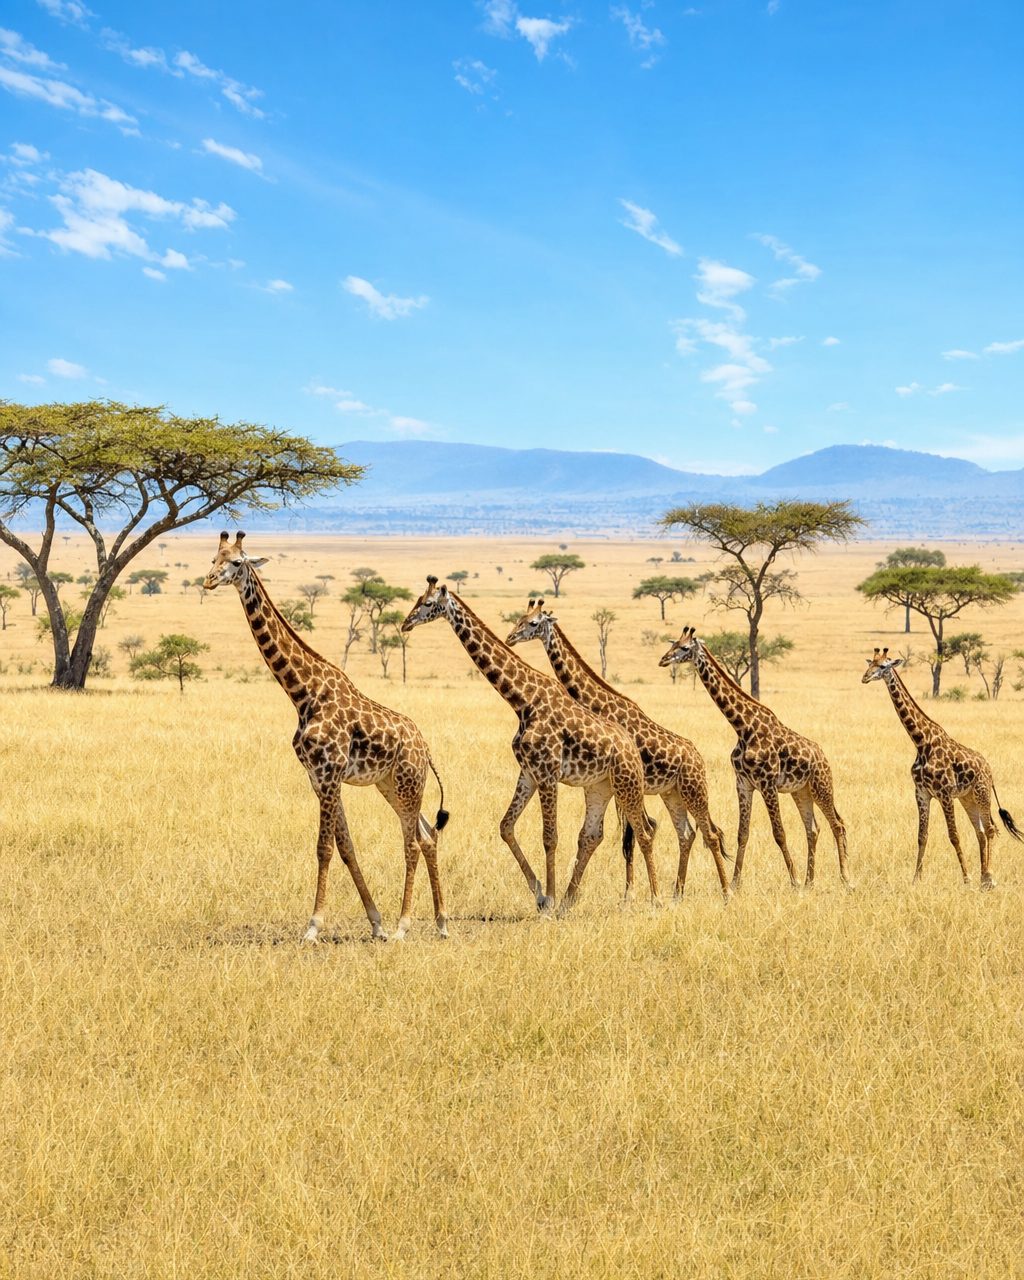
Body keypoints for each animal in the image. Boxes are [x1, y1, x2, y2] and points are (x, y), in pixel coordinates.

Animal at [203, 532, 449, 942]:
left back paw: (404, 925)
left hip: (407, 782)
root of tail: (426, 747)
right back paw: (441, 922)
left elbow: (324, 848)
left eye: (237, 562)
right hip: (390, 784)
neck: (303, 693)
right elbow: (346, 846)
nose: (208, 581)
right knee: (428, 835)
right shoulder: (317, 777)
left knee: (413, 842)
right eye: (214, 558)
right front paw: (375, 923)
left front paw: (313, 926)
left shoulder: (330, 772)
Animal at [401, 578, 659, 913]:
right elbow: (505, 827)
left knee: (645, 831)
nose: (405, 624)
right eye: (418, 599)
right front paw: (540, 894)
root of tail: (631, 747)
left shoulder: (548, 773)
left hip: (627, 783)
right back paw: (569, 901)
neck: (522, 701)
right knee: (592, 835)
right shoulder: (528, 772)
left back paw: (655, 898)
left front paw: (548, 899)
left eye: (430, 604)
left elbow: (550, 837)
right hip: (599, 787)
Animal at [506, 598, 731, 900]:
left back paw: (725, 892)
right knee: (688, 834)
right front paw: (631, 892)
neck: (601, 704)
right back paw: (678, 893)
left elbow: (632, 835)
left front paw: (630, 895)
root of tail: (697, 754)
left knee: (708, 833)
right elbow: (629, 834)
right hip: (671, 793)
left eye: (532, 622)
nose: (510, 637)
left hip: (689, 791)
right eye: (519, 618)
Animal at [659, 627, 851, 890]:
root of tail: (823, 756)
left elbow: (779, 833)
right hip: (801, 791)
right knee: (813, 829)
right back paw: (810, 881)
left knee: (838, 824)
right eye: (673, 644)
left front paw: (793, 880)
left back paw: (845, 879)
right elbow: (743, 834)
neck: (743, 727)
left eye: (685, 648)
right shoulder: (744, 783)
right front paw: (735, 882)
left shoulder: (767, 783)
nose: (663, 660)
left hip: (821, 785)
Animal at [862, 647, 1022, 887]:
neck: (921, 741)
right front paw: (916, 878)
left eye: (882, 666)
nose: (864, 678)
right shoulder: (921, 793)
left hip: (982, 792)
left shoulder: (945, 794)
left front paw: (966, 878)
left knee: (991, 829)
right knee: (980, 831)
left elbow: (953, 835)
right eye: (870, 663)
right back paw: (983, 876)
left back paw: (989, 877)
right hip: (967, 798)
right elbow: (922, 836)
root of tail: (989, 769)